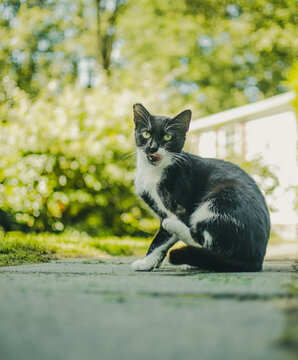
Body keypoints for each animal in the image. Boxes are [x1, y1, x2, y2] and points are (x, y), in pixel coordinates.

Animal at [130, 102, 270, 272]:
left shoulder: (178, 209)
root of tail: (256, 260)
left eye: (167, 137)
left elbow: (160, 240)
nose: (152, 148)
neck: (153, 172)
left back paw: (175, 231)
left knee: (205, 242)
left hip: (220, 200)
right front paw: (154, 262)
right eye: (146, 134)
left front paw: (146, 262)